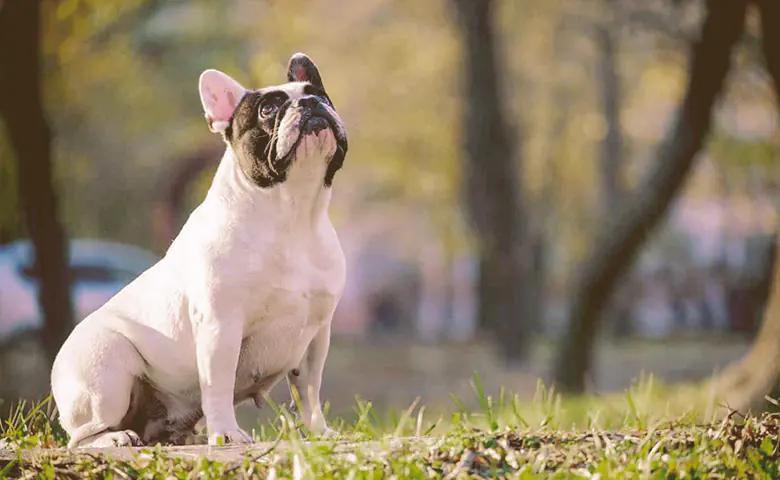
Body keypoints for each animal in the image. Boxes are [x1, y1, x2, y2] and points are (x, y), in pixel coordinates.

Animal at [50, 52, 348, 446]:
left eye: (322, 96)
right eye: (268, 109)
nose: (311, 104)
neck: (294, 212)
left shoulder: (316, 333)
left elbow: (309, 389)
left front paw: (318, 431)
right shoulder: (221, 325)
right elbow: (217, 386)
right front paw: (227, 434)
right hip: (107, 367)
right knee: (82, 435)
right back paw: (114, 439)